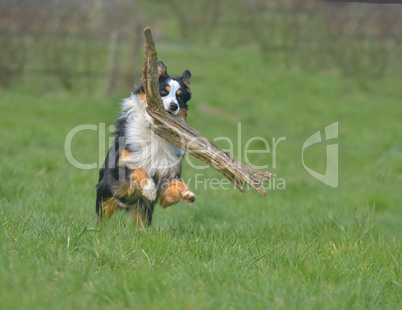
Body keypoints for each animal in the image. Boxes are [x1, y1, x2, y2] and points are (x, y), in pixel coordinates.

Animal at [98, 61, 198, 228]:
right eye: (162, 92)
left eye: (179, 97)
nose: (174, 106)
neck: (156, 132)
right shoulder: (120, 167)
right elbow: (139, 169)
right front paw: (149, 189)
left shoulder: (167, 175)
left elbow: (174, 185)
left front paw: (186, 192)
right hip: (106, 195)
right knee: (102, 219)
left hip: (143, 211)